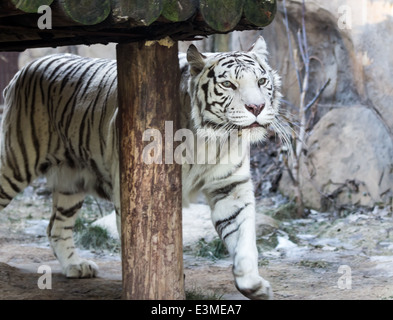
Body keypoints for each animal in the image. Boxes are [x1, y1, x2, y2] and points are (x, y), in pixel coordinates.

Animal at [2, 37, 284, 300]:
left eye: (261, 81)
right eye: (228, 85)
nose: (257, 107)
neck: (212, 139)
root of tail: (24, 69)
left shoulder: (230, 188)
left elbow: (243, 238)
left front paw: (255, 286)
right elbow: (147, 242)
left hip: (70, 181)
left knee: (56, 227)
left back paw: (76, 266)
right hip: (16, 162)